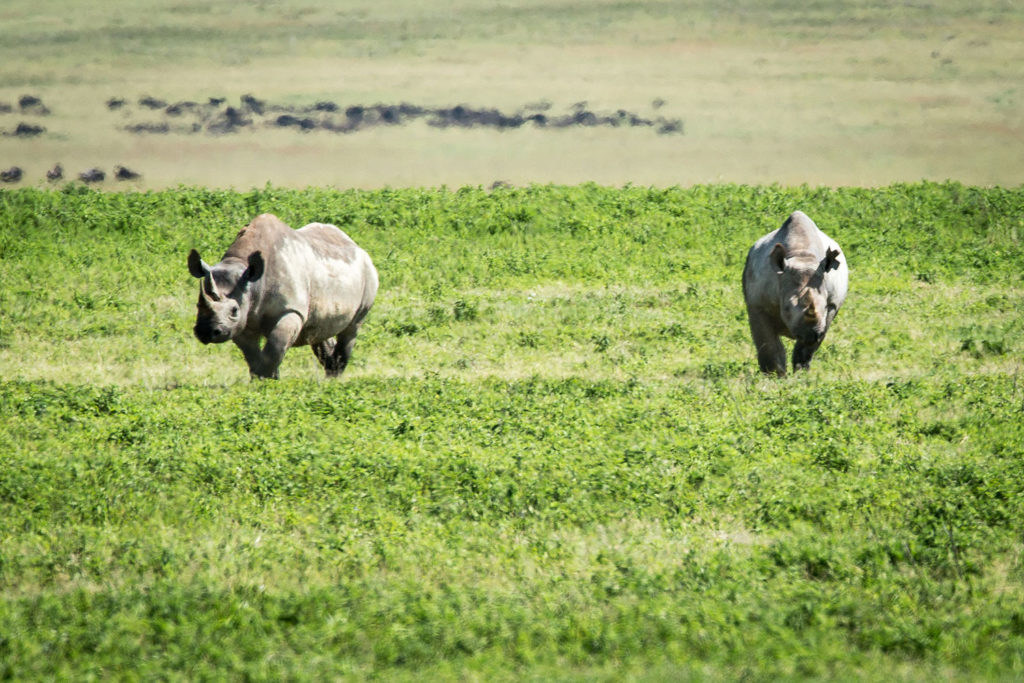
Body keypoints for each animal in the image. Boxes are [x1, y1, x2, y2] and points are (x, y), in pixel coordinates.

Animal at [186, 214, 378, 378]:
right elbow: (252, 355)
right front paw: (262, 380)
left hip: (369, 276)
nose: (205, 332)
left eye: (234, 310)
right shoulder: (242, 321)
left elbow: (275, 347)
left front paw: (268, 382)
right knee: (319, 329)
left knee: (351, 328)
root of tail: (356, 245)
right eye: (197, 306)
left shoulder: (290, 310)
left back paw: (334, 379)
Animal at [745, 210, 847, 376]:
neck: (801, 256)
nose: (811, 334)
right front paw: (773, 375)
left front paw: (801, 374)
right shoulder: (758, 303)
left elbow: (806, 350)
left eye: (825, 307)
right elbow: (768, 342)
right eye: (786, 308)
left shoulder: (832, 306)